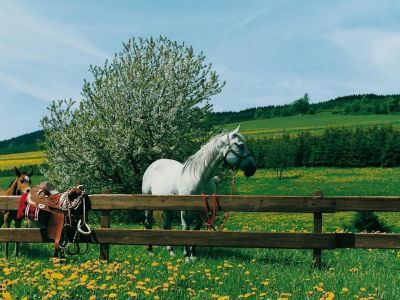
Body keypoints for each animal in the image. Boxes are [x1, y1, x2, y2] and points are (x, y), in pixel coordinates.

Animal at [142, 125, 258, 258]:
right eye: (240, 145)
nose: (253, 169)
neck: (199, 177)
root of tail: (153, 165)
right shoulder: (185, 210)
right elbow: (186, 228)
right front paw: (186, 255)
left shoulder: (203, 209)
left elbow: (197, 229)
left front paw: (193, 255)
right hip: (148, 203)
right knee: (148, 223)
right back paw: (150, 250)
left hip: (167, 207)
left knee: (167, 225)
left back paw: (171, 251)